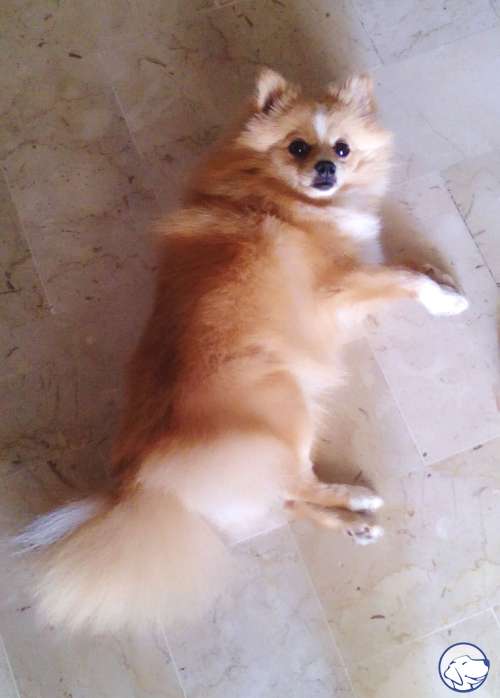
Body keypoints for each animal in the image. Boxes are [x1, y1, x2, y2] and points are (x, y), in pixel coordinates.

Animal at [15, 69, 469, 633]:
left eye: (342, 149)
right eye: (298, 147)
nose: (325, 167)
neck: (283, 197)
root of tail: (142, 485)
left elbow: (410, 267)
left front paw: (442, 277)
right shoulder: (340, 286)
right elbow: (405, 278)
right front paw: (447, 300)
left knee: (289, 498)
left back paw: (353, 526)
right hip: (284, 407)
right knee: (299, 483)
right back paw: (357, 497)